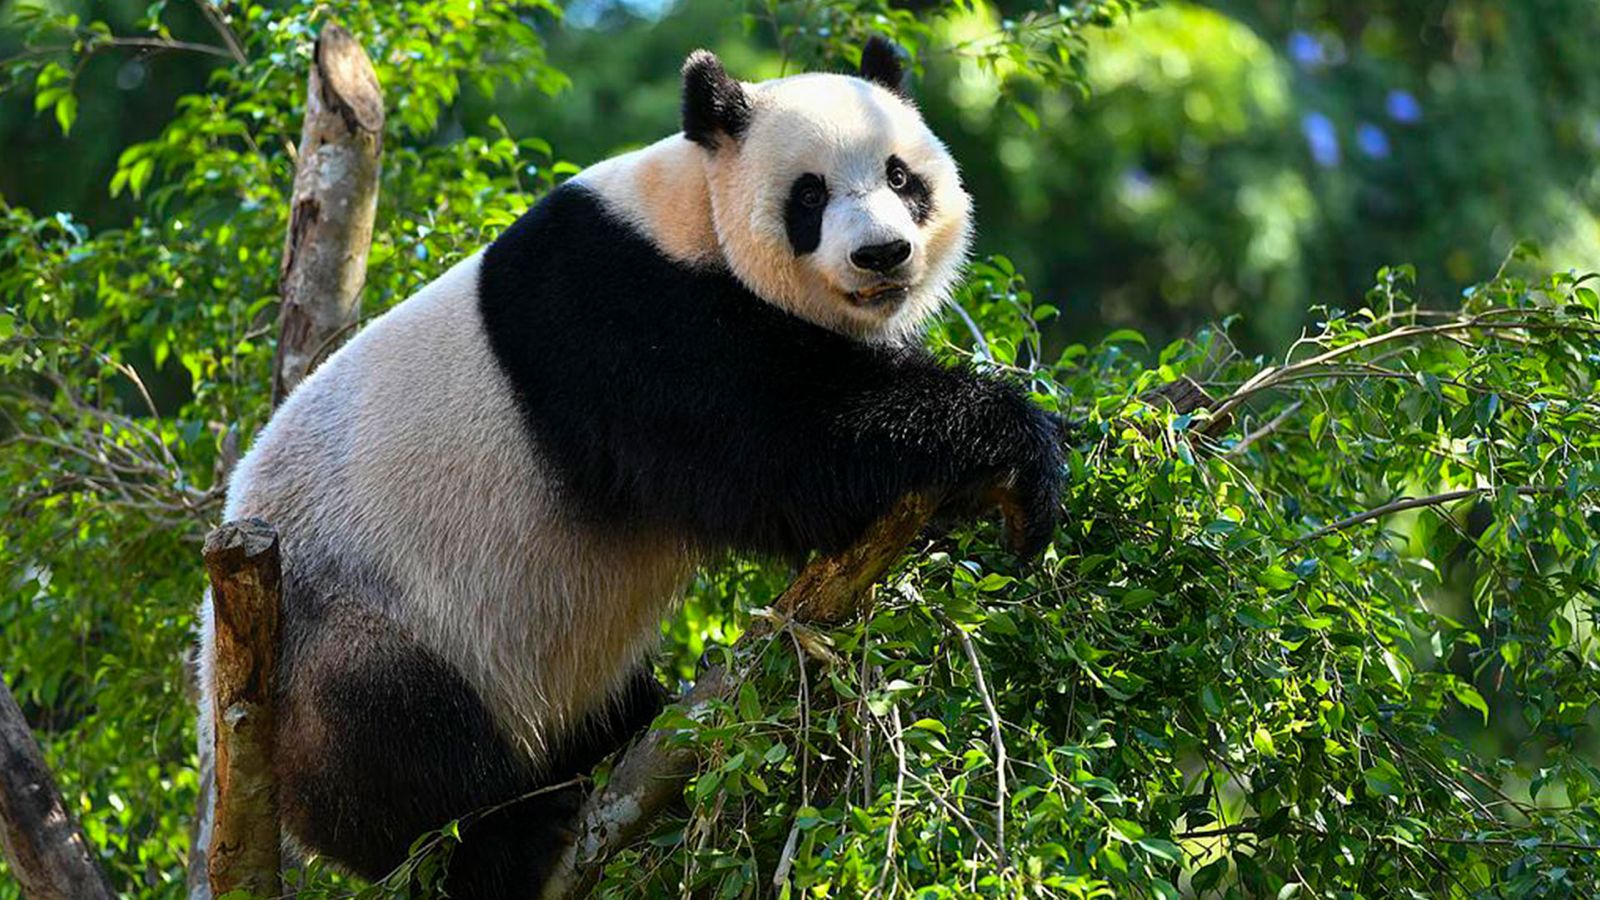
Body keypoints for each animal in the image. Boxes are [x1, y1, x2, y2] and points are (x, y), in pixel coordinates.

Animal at [197, 38, 1062, 899]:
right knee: (398, 742)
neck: (692, 214)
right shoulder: (617, 314)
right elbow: (771, 440)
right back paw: (508, 835)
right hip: (355, 618)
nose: (881, 254)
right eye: (809, 195)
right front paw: (1012, 446)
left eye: (900, 176)